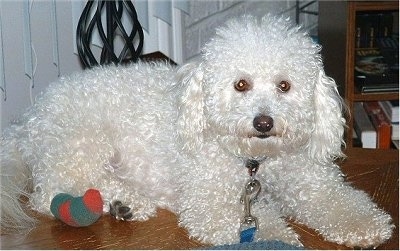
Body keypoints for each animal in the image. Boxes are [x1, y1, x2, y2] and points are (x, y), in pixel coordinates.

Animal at [0, 15, 394, 247]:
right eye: (240, 85)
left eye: (284, 86)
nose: (263, 122)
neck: (255, 160)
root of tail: (27, 121)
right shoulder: (211, 205)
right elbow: (261, 224)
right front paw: (280, 237)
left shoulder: (313, 182)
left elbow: (340, 202)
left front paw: (365, 224)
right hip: (81, 141)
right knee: (51, 192)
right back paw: (124, 202)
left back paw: (122, 204)